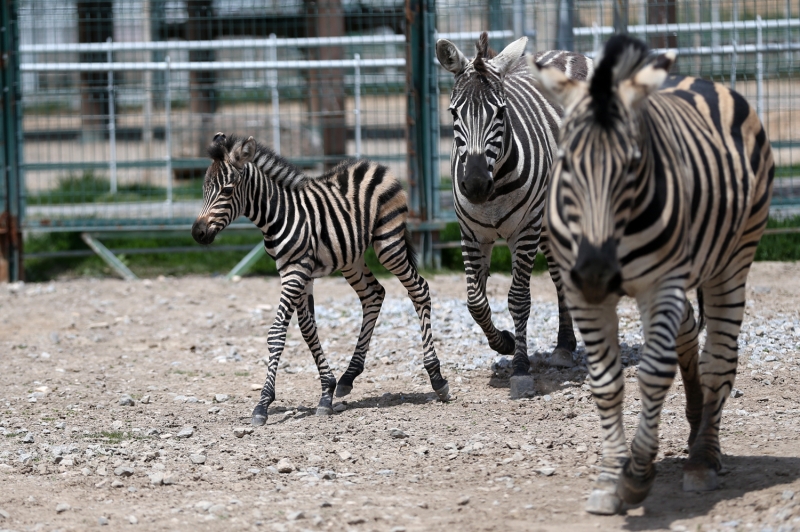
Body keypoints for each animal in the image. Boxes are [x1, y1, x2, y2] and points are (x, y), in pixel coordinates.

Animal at [191, 133, 451, 426]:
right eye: (204, 190)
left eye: (226, 191)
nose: (197, 233)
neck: (278, 214)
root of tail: (374, 164)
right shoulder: (296, 272)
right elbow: (308, 330)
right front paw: (327, 391)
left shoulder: (296, 272)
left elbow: (277, 333)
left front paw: (263, 404)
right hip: (351, 257)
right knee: (373, 295)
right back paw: (349, 376)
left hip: (389, 244)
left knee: (419, 289)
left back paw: (437, 379)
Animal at [436, 32, 592, 394]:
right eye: (453, 113)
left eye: (501, 112)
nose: (475, 184)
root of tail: (566, 52)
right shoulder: (472, 233)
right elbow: (475, 302)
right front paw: (503, 343)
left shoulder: (525, 229)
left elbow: (519, 298)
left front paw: (520, 366)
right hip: (549, 224)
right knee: (560, 275)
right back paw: (564, 347)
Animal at [528, 34, 774, 514]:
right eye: (565, 162)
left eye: (633, 164)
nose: (597, 272)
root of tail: (703, 81)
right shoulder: (583, 296)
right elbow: (606, 384)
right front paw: (610, 479)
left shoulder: (661, 285)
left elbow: (654, 374)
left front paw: (637, 476)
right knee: (690, 334)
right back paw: (696, 426)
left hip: (733, 260)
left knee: (719, 358)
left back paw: (703, 458)